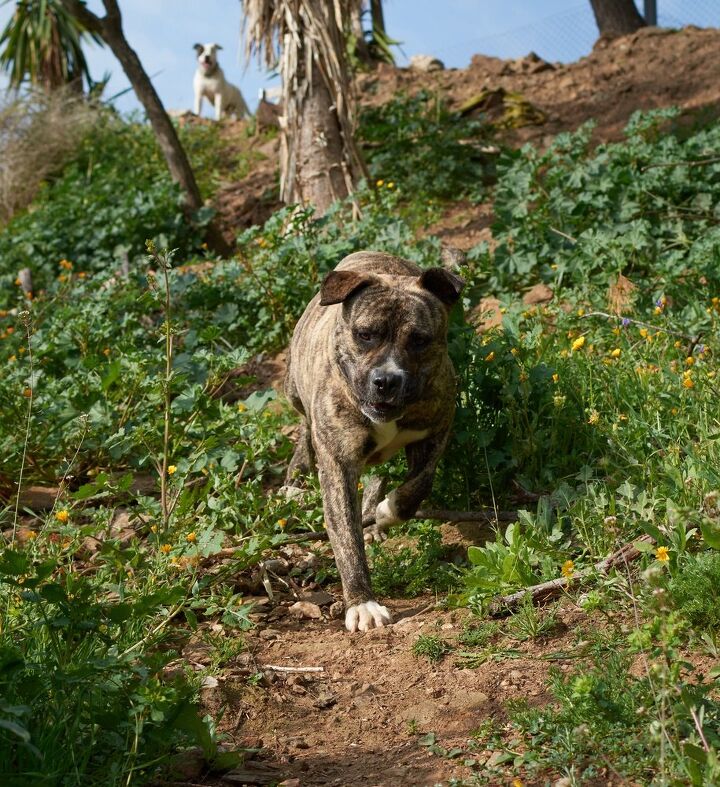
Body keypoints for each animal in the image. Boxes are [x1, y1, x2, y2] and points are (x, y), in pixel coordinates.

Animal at [284, 252, 464, 636]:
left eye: (419, 340)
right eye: (365, 335)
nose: (386, 380)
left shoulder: (437, 429)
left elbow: (417, 487)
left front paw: (384, 512)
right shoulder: (337, 466)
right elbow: (346, 538)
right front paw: (361, 603)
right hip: (294, 389)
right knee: (304, 425)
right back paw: (294, 480)